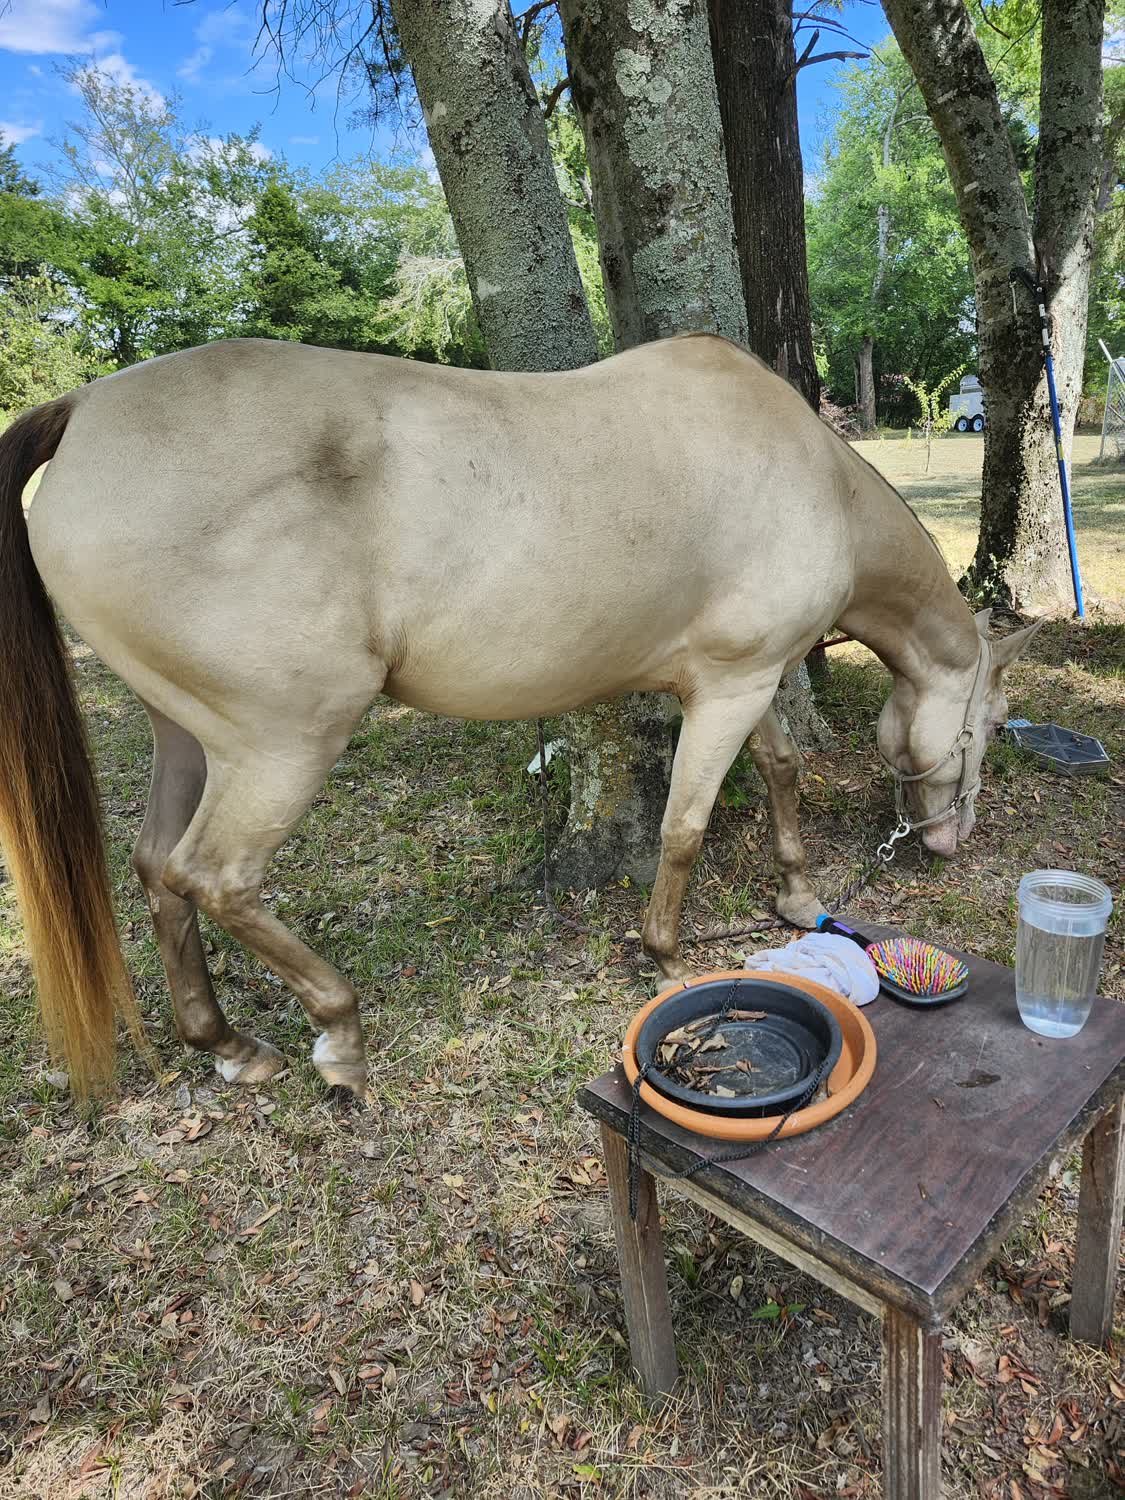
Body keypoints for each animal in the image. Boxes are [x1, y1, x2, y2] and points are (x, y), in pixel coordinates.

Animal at [0, 333, 1039, 1097]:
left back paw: (225, 1042)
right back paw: (338, 1035)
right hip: (281, 743)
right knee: (214, 878)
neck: (807, 474)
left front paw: (792, 895)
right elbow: (684, 827)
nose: (951, 839)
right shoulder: (733, 685)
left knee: (156, 872)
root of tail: (87, 410)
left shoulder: (740, 680)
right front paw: (667, 959)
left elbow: (779, 770)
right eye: (987, 728)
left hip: (185, 733)